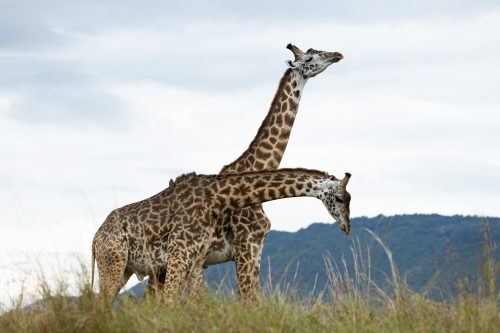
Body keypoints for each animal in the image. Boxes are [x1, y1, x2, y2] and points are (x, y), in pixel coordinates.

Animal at [91, 167, 352, 300]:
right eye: (340, 198)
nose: (347, 226)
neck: (215, 199)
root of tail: (94, 239)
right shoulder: (178, 257)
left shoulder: (196, 260)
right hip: (113, 263)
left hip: (123, 268)